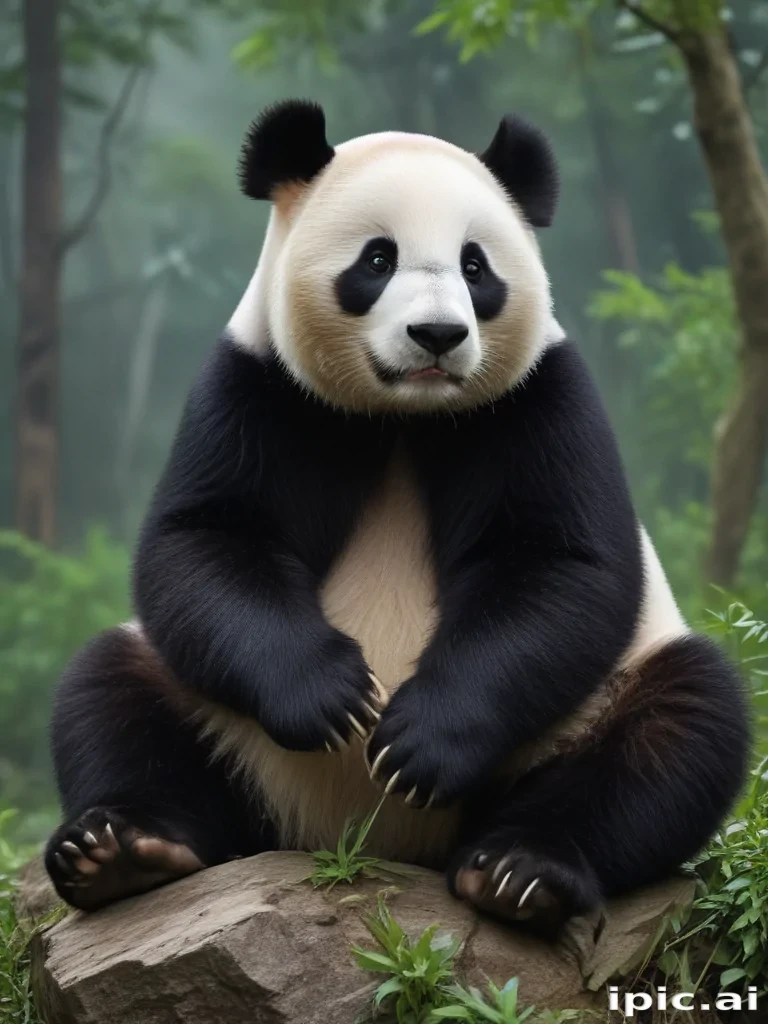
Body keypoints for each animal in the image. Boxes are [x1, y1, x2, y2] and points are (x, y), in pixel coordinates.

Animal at [46, 100, 749, 934]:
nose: (438, 335)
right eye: (377, 260)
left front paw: (420, 743)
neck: (406, 415)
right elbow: (206, 539)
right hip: (223, 726)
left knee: (676, 728)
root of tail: (363, 843)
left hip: (581, 712)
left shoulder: (542, 397)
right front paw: (331, 697)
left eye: (476, 267)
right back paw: (121, 851)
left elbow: (561, 565)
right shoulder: (255, 384)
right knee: (109, 691)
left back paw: (519, 872)